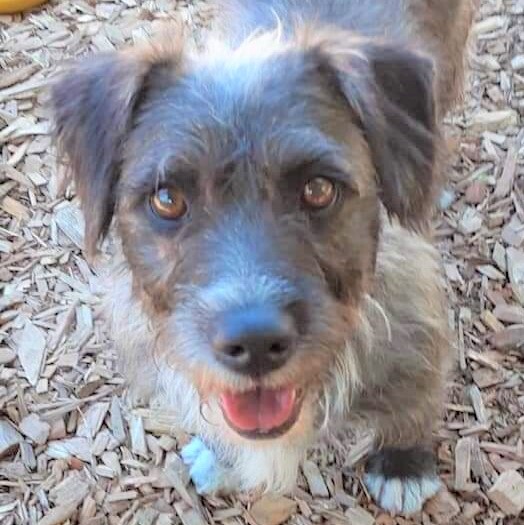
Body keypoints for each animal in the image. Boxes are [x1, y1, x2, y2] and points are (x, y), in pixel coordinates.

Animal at [50, 0, 474, 516]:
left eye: (318, 189)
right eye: (167, 199)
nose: (254, 343)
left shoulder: (416, 336)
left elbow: (415, 403)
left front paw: (403, 463)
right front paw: (221, 456)